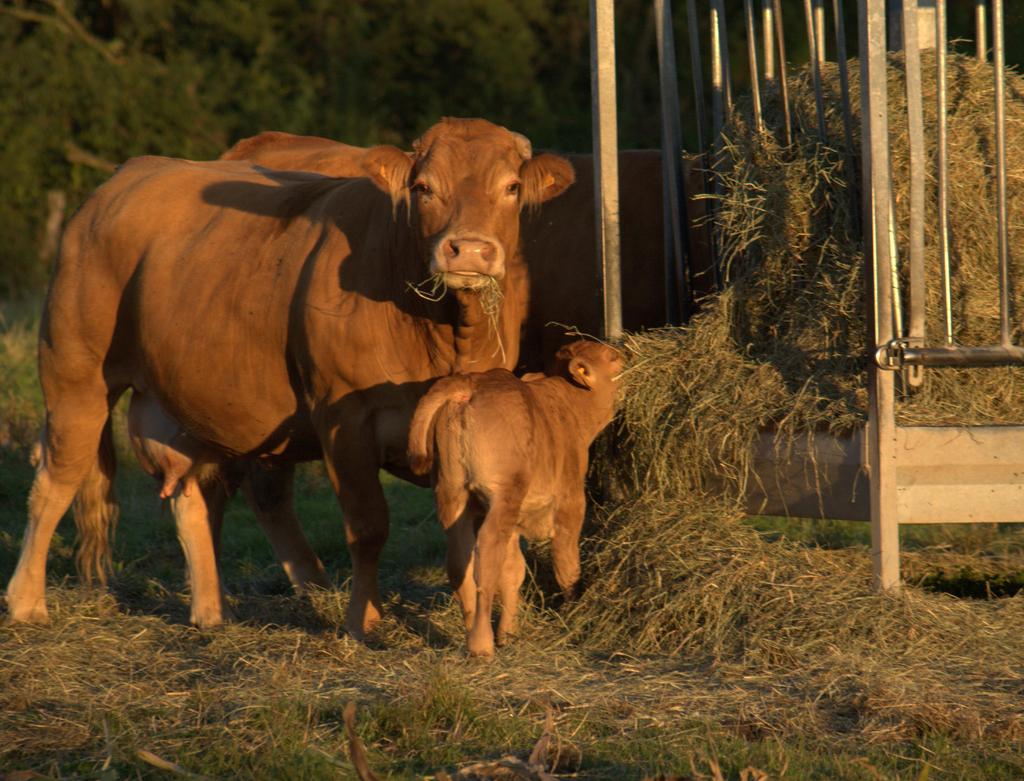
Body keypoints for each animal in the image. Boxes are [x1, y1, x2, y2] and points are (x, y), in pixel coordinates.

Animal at [4, 119, 573, 638]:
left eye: (511, 187)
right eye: (424, 187)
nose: (469, 250)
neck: (443, 332)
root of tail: (128, 176)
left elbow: (468, 535)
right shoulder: (344, 419)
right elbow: (368, 525)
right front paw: (363, 621)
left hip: (205, 402)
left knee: (199, 494)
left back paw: (214, 609)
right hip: (75, 376)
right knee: (56, 479)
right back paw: (27, 601)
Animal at [403, 339, 618, 655]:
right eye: (614, 358)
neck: (568, 407)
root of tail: (470, 382)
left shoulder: (516, 521)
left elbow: (514, 570)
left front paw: (509, 632)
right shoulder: (570, 501)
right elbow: (566, 563)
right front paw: (574, 612)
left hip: (453, 493)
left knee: (459, 560)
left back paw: (472, 629)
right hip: (503, 493)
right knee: (487, 555)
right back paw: (481, 645)